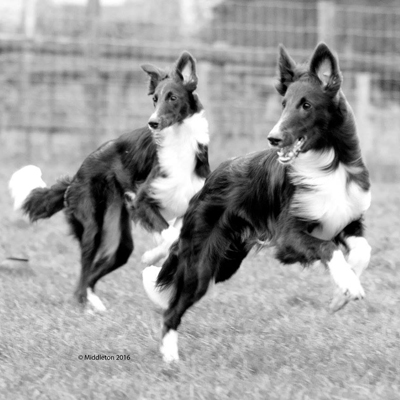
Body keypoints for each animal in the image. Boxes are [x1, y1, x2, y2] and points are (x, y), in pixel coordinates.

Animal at [9, 50, 209, 312]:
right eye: (155, 99)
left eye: (172, 97)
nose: (152, 123)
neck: (179, 143)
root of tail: (75, 176)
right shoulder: (142, 201)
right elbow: (170, 236)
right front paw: (152, 257)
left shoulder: (186, 205)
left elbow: (174, 236)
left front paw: (154, 257)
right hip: (92, 223)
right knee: (83, 273)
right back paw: (85, 306)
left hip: (119, 241)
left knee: (99, 268)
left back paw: (96, 304)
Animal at [143, 43, 372, 362]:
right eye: (284, 104)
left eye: (306, 105)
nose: (273, 138)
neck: (330, 163)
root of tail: (208, 181)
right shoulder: (289, 237)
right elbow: (328, 248)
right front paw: (348, 284)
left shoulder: (347, 220)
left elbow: (363, 251)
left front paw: (342, 292)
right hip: (201, 263)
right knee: (171, 309)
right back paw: (170, 359)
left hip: (226, 261)